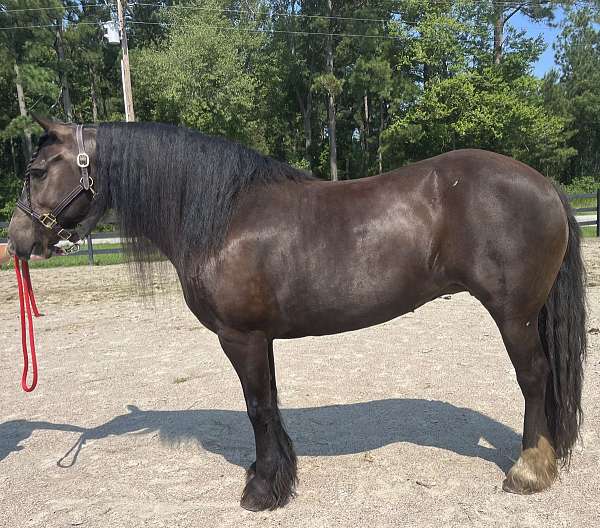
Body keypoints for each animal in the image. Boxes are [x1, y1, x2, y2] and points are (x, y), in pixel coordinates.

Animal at [5, 118, 584, 512]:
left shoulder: (240, 337)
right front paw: (277, 474)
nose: (18, 240)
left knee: (535, 378)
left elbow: (257, 407)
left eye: (37, 170)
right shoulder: (262, 338)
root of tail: (544, 184)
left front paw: (262, 489)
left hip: (514, 316)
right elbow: (271, 405)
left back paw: (528, 471)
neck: (223, 217)